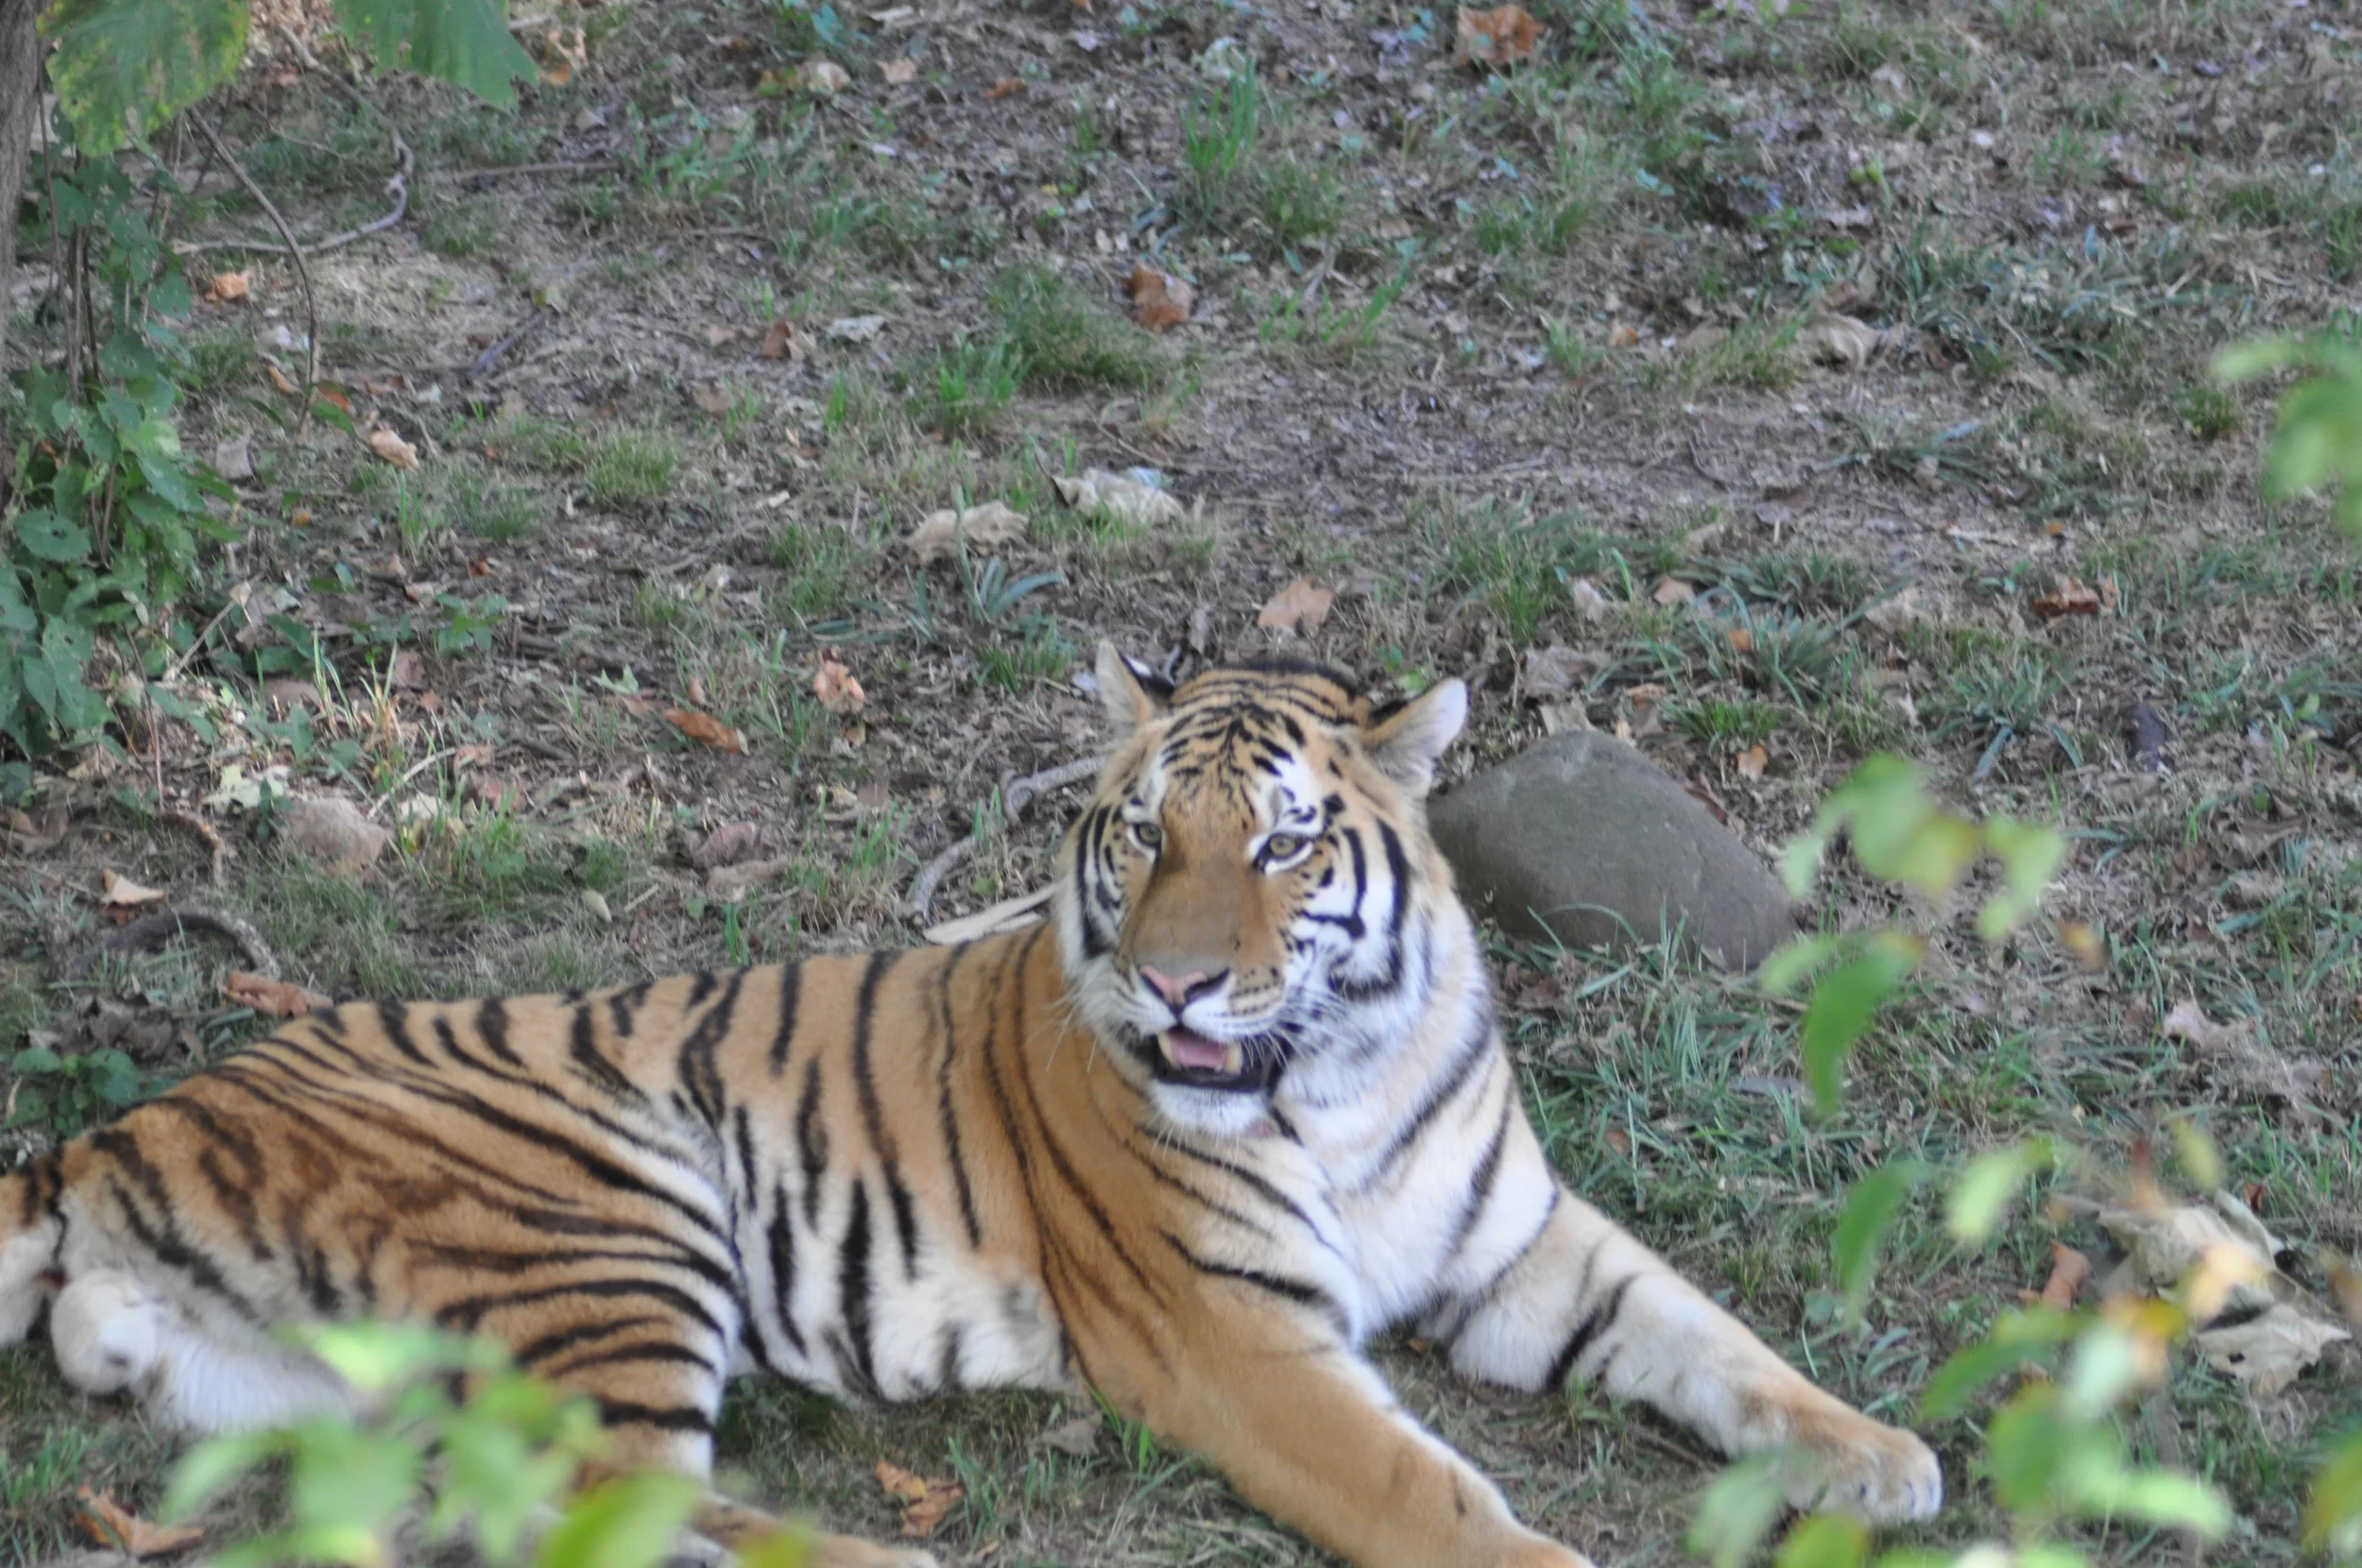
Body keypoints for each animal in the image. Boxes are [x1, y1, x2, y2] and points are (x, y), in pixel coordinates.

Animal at [0, 647, 1941, 1568]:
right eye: (1146, 833)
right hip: (610, 1212)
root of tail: (111, 1131)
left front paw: (1884, 1456)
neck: (1342, 1072)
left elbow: (1718, 1340)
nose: (1177, 988)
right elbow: (1434, 1497)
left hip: (306, 1380)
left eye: (1286, 846)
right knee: (604, 1509)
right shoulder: (1242, 1344)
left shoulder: (1523, 1242)